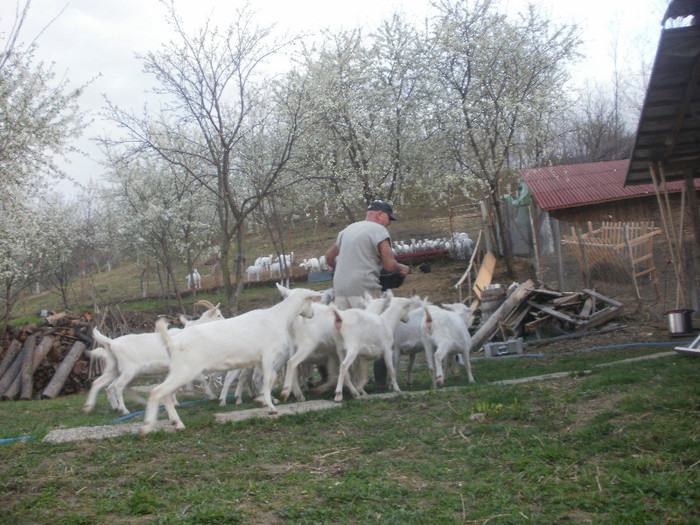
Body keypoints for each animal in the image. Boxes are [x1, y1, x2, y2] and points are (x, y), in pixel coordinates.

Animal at [141, 284, 322, 432]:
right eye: (310, 301)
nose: (313, 314)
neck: (278, 317)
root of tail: (172, 342)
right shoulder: (269, 355)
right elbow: (267, 380)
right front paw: (271, 406)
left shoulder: (260, 360)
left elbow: (260, 380)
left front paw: (262, 400)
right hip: (184, 370)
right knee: (158, 391)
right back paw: (147, 427)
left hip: (181, 372)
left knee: (167, 395)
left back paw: (177, 424)